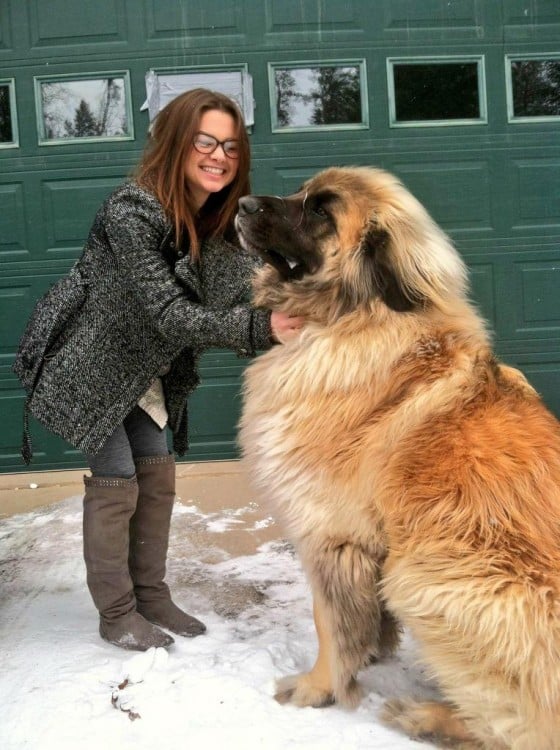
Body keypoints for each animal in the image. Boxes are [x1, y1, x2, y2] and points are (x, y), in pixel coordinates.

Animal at [235, 167, 560, 748]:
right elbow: (362, 619)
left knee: (517, 731)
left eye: (320, 211)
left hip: (425, 575)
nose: (243, 204)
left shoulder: (329, 532)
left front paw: (318, 688)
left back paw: (425, 716)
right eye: (300, 193)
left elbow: (329, 621)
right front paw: (370, 653)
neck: (354, 316)